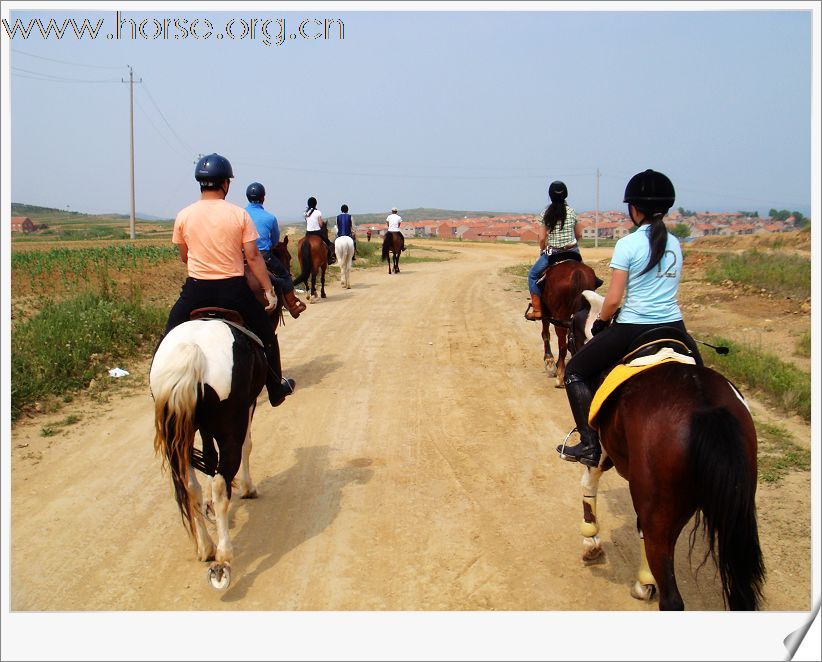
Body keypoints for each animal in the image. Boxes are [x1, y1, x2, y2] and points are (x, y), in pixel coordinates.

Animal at [536, 258, 604, 390]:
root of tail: (576, 272)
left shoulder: (546, 312)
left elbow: (545, 333)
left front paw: (549, 360)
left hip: (558, 314)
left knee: (562, 344)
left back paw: (560, 376)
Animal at [568, 290, 768, 612]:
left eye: (571, 334)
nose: (567, 355)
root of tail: (704, 407)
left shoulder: (600, 452)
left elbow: (588, 484)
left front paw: (591, 542)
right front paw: (644, 581)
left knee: (672, 600)